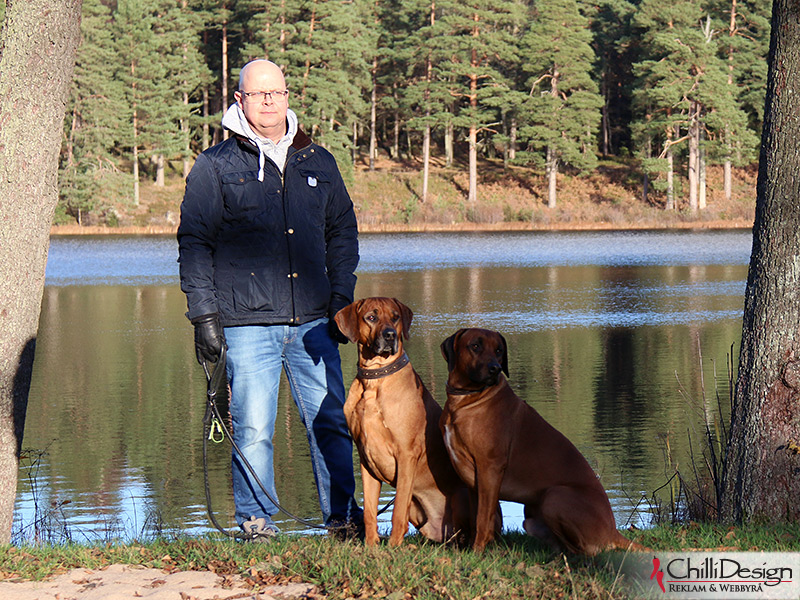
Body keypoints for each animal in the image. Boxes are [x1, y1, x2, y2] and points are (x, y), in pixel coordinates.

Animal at [334, 298, 472, 548]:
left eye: (395, 316)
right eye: (371, 317)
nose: (390, 335)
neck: (375, 379)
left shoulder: (406, 454)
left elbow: (398, 509)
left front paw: (393, 546)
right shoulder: (366, 459)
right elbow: (370, 511)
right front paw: (372, 546)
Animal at [438, 328, 636, 552]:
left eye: (499, 350)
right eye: (475, 346)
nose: (495, 369)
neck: (466, 399)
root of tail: (613, 531)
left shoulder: (489, 469)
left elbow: (483, 518)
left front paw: (478, 550)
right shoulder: (472, 480)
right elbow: (475, 516)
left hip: (555, 496)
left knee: (584, 551)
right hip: (531, 516)